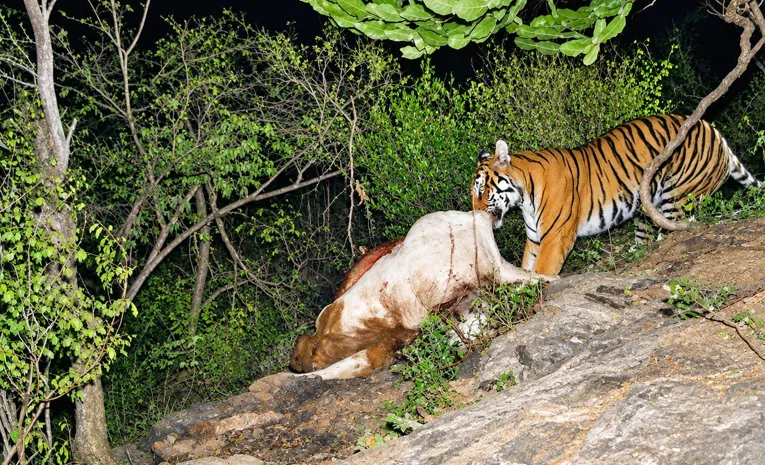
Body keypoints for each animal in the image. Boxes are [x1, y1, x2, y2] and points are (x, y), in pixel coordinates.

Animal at [472, 114, 762, 276]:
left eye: (482, 190)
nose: (474, 216)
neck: (525, 199)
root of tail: (715, 132)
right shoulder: (534, 239)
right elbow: (526, 269)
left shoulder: (555, 238)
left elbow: (542, 274)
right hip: (647, 209)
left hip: (678, 198)